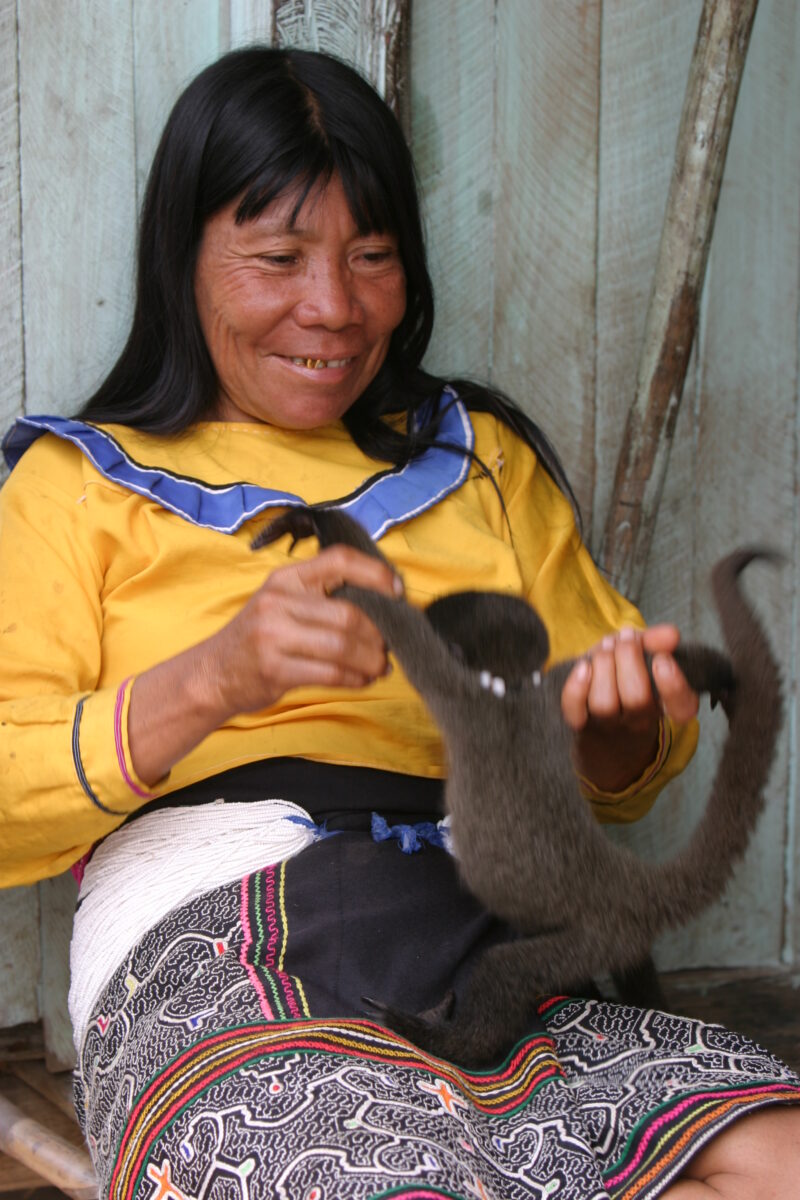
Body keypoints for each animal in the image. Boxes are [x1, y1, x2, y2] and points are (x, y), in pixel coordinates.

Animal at [253, 507, 783, 1067]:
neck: (510, 686)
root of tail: (632, 885)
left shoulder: (457, 688)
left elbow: (393, 616)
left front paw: (334, 562)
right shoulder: (560, 683)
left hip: (592, 937)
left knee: (504, 972)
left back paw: (440, 1035)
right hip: (621, 940)